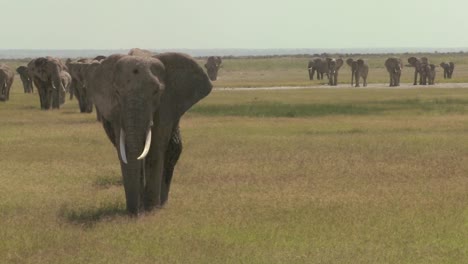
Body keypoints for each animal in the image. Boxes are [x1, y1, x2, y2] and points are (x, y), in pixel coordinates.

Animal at [87, 52, 213, 216]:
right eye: (117, 92)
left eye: (156, 92)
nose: (136, 213)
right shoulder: (115, 111)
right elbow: (124, 152)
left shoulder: (166, 105)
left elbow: (156, 147)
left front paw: (152, 209)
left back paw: (162, 203)